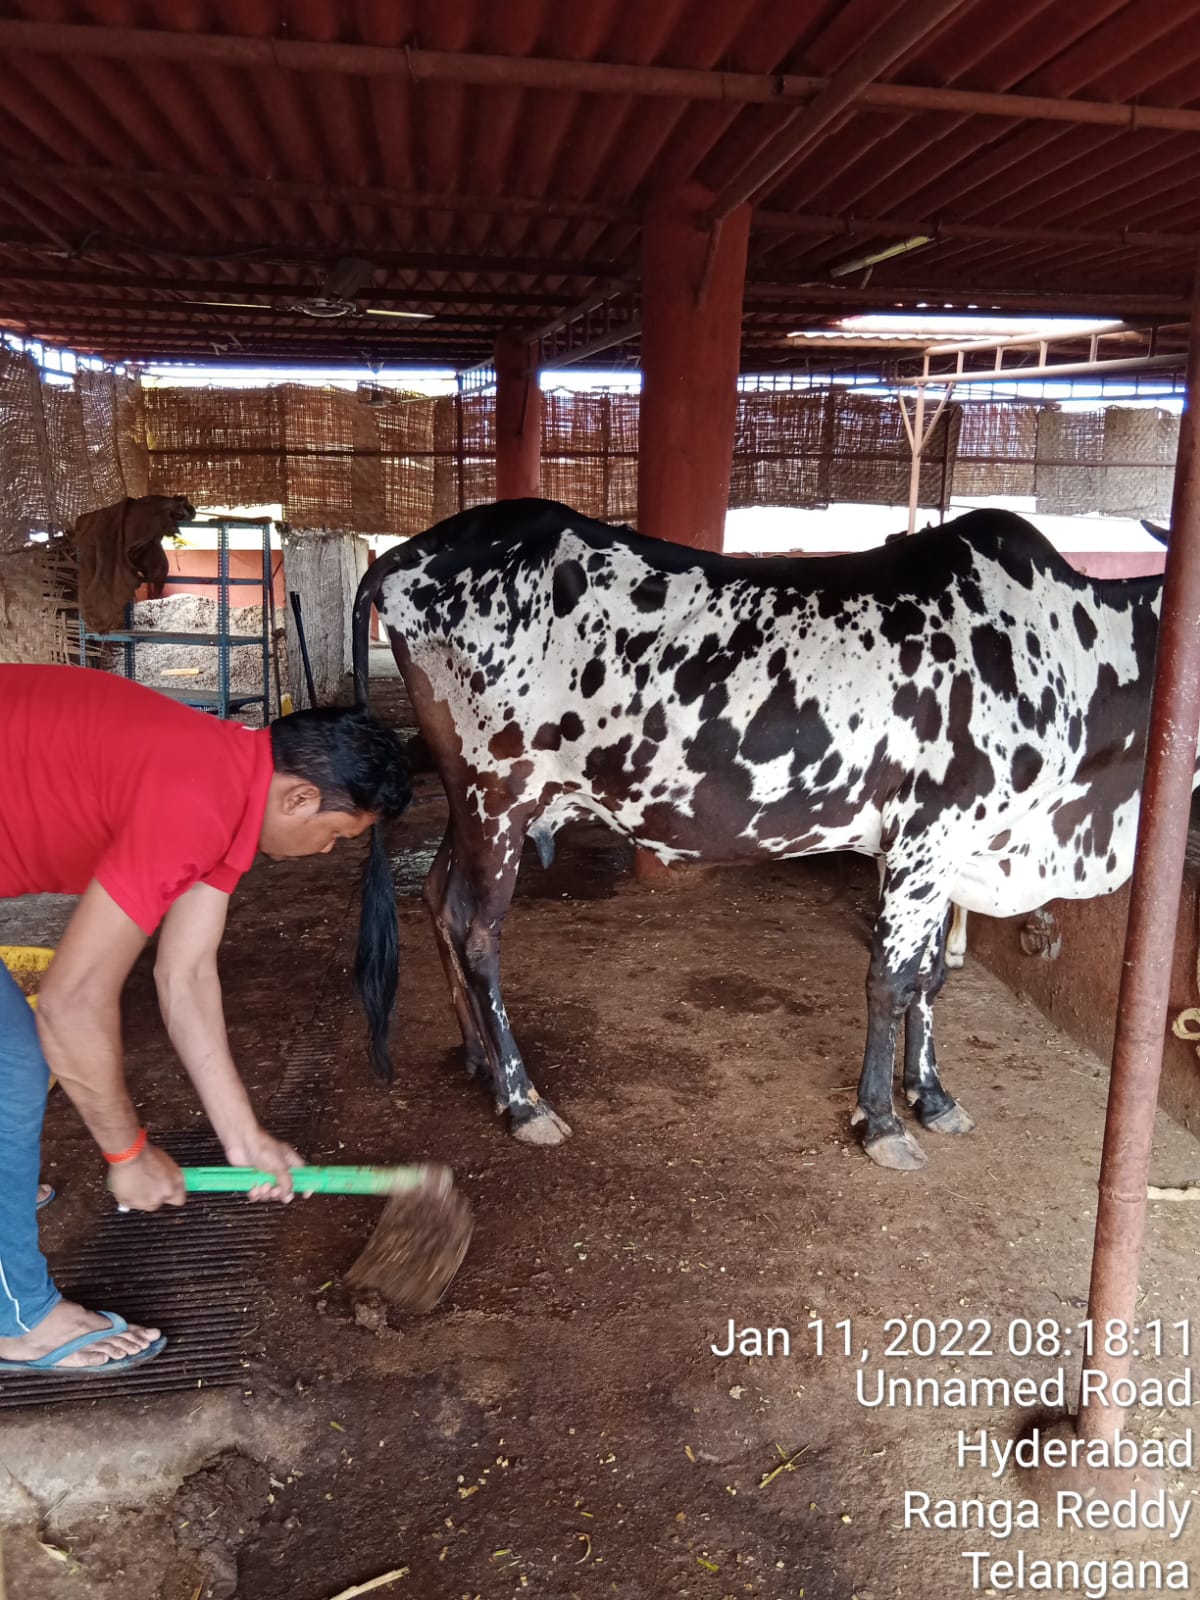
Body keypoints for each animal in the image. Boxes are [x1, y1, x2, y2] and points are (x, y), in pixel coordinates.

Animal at [351, 498, 1176, 1171]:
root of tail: (400, 556)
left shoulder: (950, 852)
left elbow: (929, 979)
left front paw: (933, 1097)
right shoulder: (925, 836)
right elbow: (889, 981)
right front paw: (881, 1121)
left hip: (475, 805)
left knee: (436, 899)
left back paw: (479, 1062)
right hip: (498, 794)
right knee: (477, 931)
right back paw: (522, 1100)